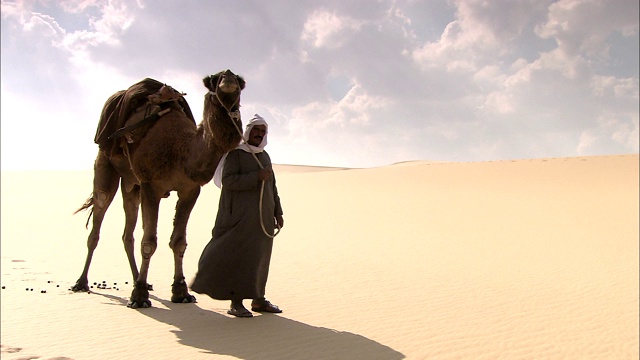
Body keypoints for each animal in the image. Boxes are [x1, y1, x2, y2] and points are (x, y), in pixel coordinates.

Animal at [72, 69, 245, 308]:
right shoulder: (150, 185)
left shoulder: (190, 189)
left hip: (132, 184)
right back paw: (82, 282)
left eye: (240, 82)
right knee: (100, 211)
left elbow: (179, 242)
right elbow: (149, 242)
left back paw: (139, 279)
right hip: (106, 160)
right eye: (213, 80)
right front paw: (139, 296)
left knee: (128, 231)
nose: (227, 78)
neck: (182, 151)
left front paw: (181, 291)